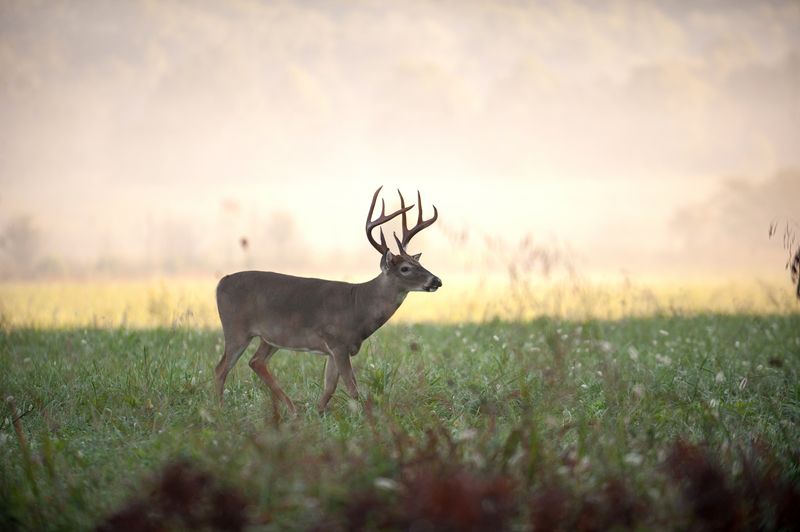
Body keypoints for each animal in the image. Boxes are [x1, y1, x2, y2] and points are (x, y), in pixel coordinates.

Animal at [214, 186, 442, 413]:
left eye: (419, 263)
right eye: (405, 268)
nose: (436, 280)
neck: (358, 306)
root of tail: (221, 283)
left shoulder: (333, 350)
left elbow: (329, 387)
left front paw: (318, 413)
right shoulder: (337, 342)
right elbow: (352, 387)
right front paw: (364, 416)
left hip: (270, 336)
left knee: (256, 362)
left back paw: (293, 410)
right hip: (236, 329)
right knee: (221, 368)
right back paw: (220, 409)